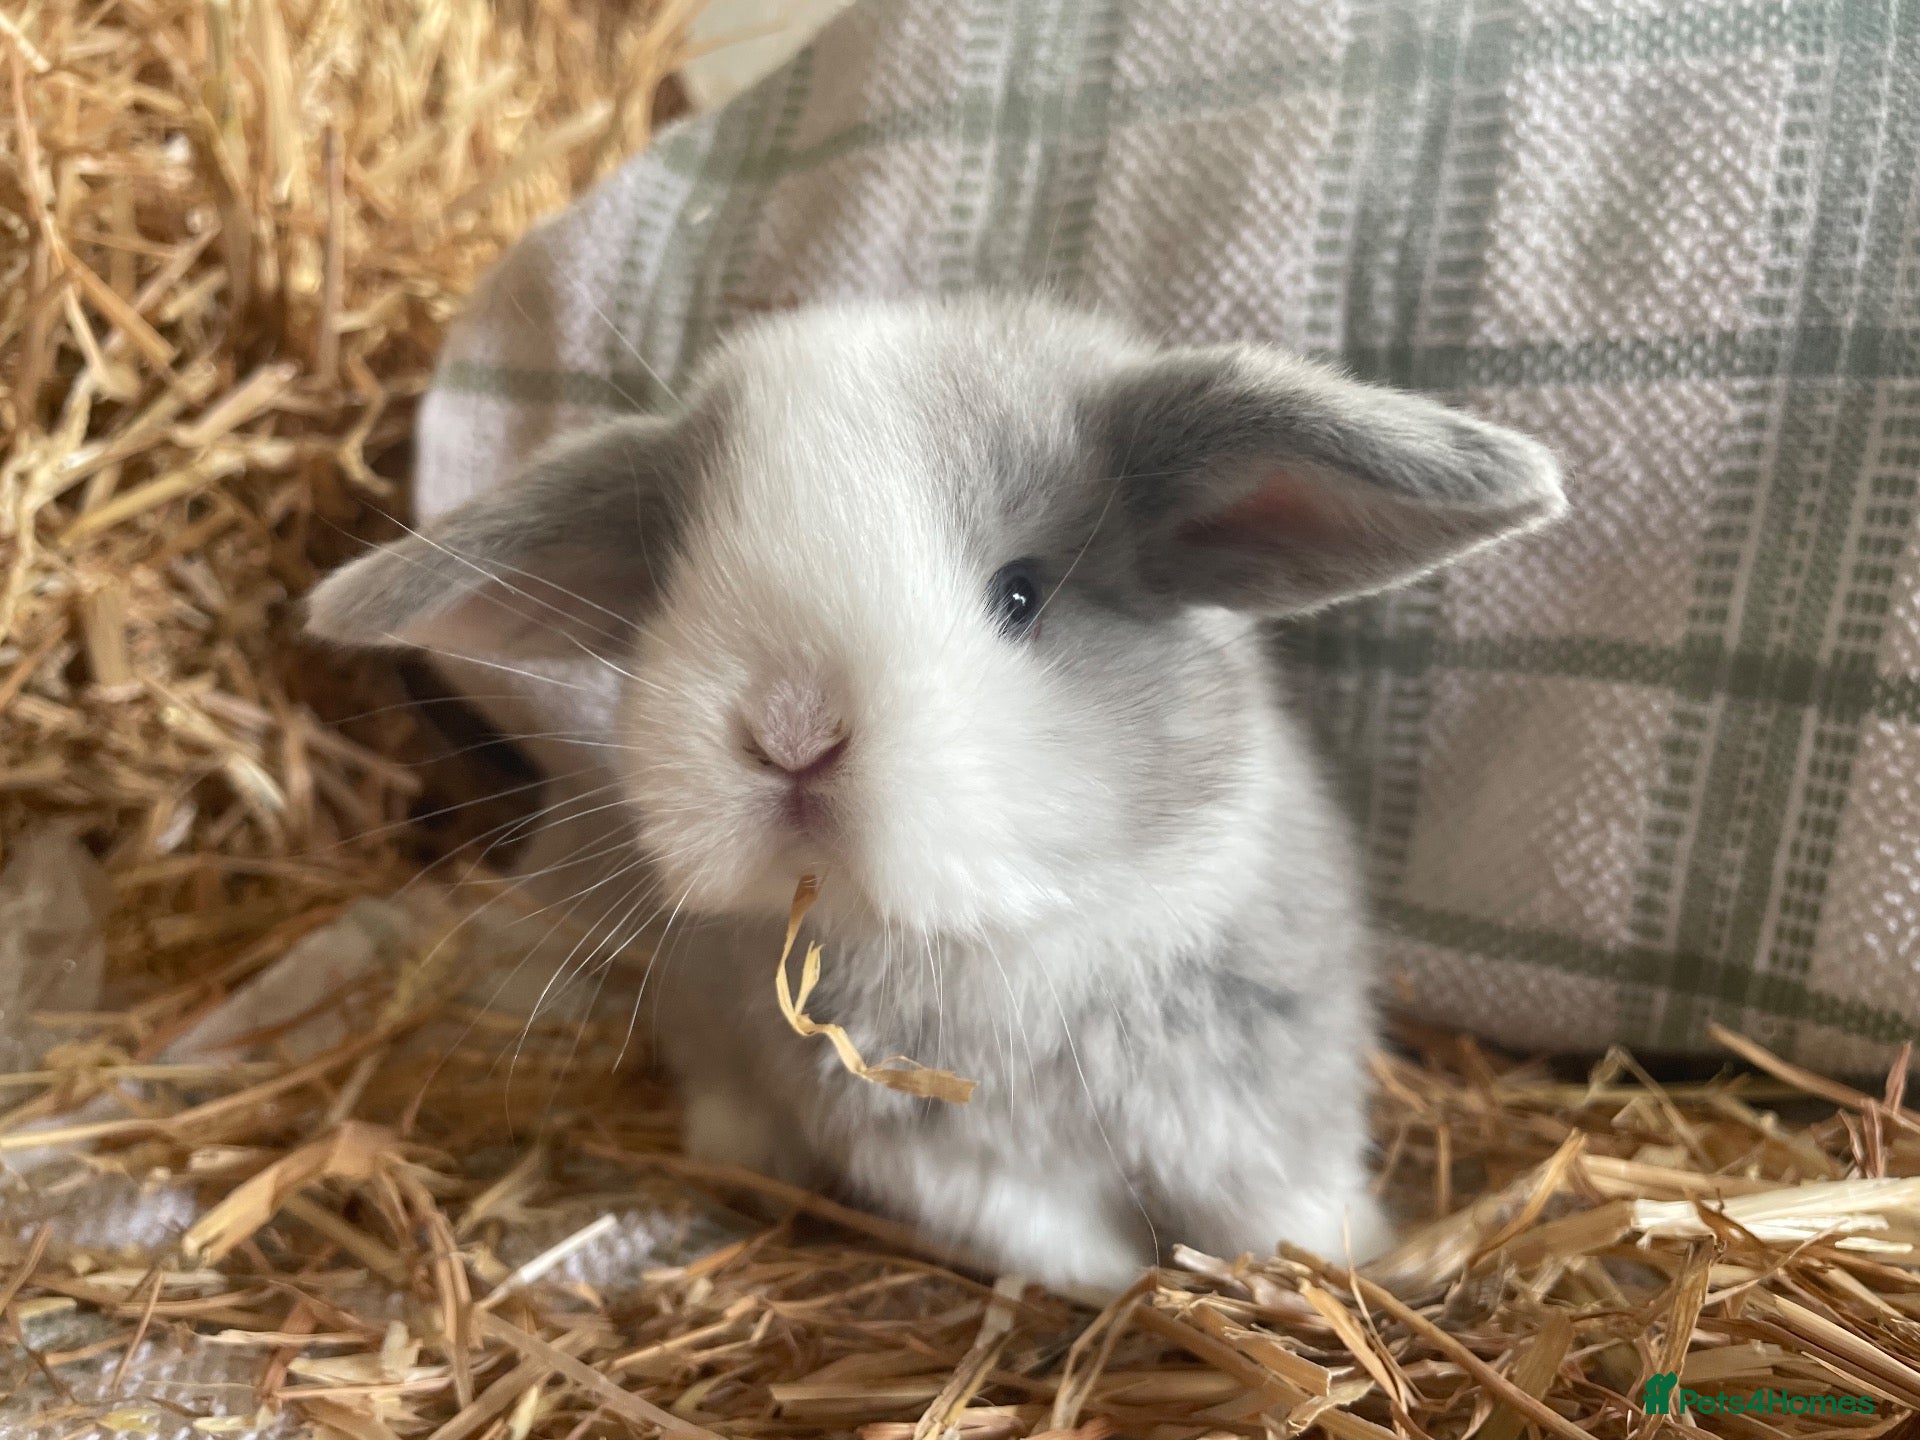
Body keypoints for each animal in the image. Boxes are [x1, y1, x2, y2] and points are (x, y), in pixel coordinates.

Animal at [306, 296, 1564, 1294]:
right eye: (674, 596)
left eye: (1020, 595)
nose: (792, 731)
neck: (991, 938)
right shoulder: (940, 1154)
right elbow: (1044, 1233)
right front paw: (1113, 1288)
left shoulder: (1251, 1079)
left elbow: (1276, 1203)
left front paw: (1343, 1265)